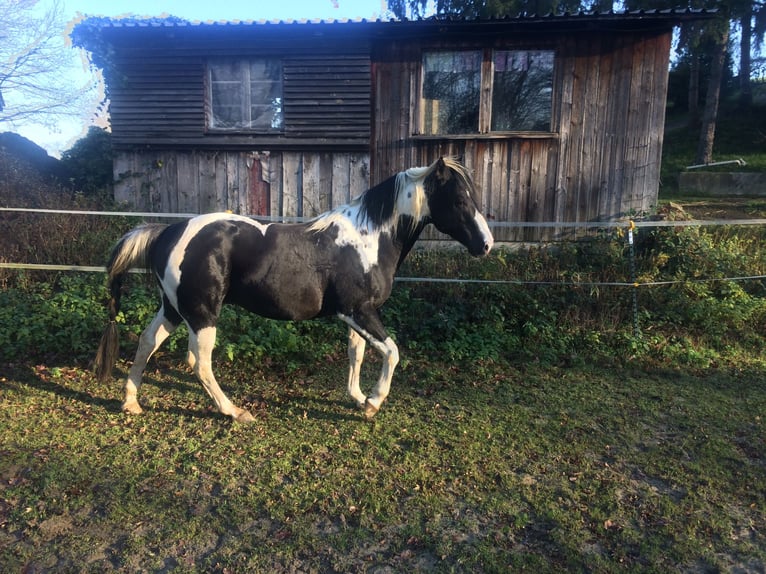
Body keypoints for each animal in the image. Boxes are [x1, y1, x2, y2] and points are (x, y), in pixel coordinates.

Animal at [94, 157, 494, 422]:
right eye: (460, 200)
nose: (486, 245)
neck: (369, 238)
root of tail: (168, 231)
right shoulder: (360, 312)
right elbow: (392, 352)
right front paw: (373, 403)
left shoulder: (356, 315)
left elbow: (357, 354)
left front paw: (357, 397)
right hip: (202, 313)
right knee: (199, 363)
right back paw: (235, 412)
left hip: (175, 308)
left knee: (147, 342)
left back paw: (131, 402)